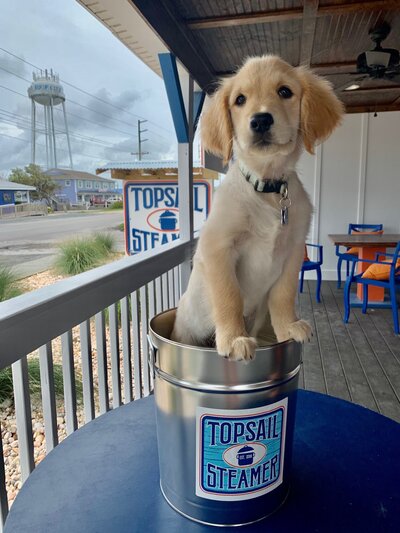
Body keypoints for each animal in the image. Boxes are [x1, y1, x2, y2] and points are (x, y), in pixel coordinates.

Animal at [172, 55, 344, 362]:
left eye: (285, 91)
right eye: (240, 99)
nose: (261, 120)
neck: (267, 187)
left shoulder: (293, 250)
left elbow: (283, 294)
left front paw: (287, 327)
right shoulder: (219, 246)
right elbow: (229, 296)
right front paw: (233, 338)